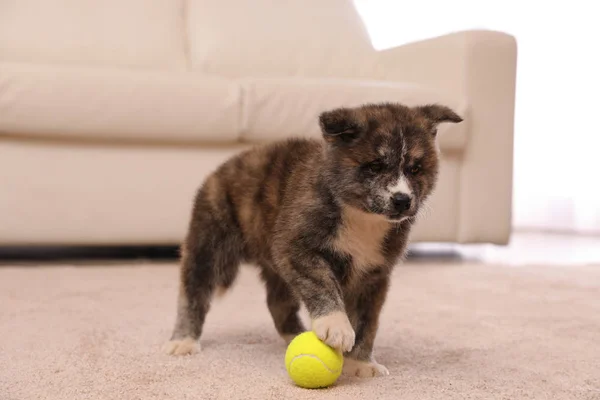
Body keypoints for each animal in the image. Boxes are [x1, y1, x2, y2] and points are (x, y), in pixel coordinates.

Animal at [162, 101, 462, 376]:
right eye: (375, 166)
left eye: (415, 168)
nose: (402, 201)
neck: (361, 217)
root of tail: (223, 168)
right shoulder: (296, 247)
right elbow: (322, 284)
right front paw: (335, 325)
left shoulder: (374, 273)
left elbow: (367, 322)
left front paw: (361, 363)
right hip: (208, 244)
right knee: (193, 291)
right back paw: (183, 340)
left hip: (273, 265)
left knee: (277, 301)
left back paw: (293, 334)